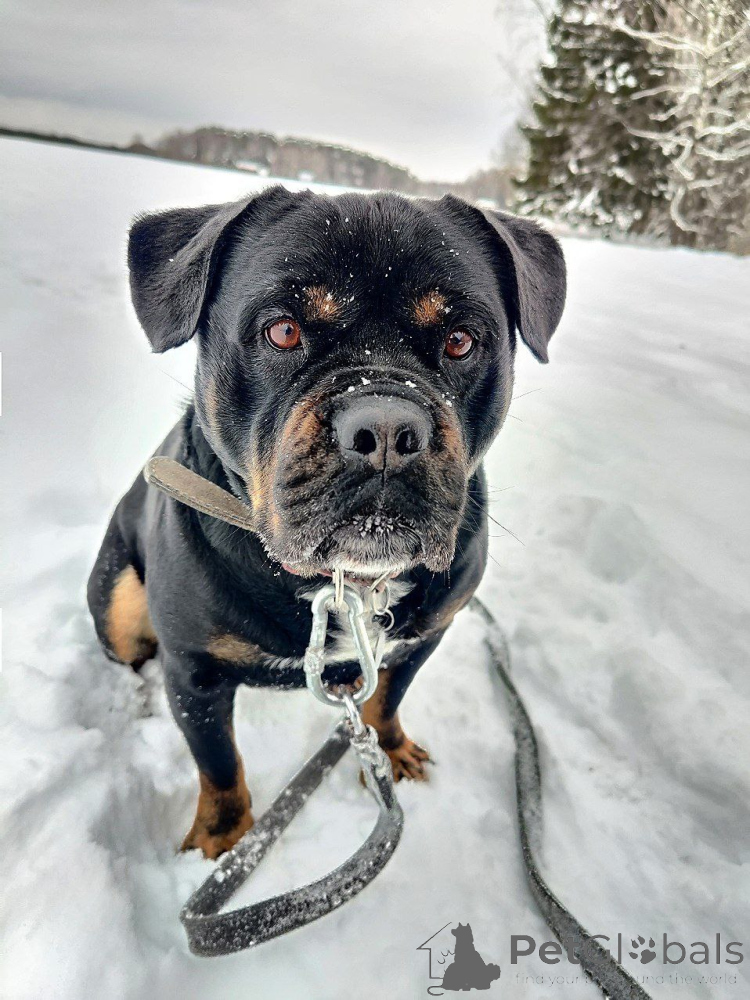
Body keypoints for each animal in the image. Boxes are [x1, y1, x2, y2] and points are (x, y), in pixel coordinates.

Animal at [87, 186, 565, 858]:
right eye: (283, 331)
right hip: (119, 601)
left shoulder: (421, 638)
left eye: (461, 341)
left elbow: (385, 702)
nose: (387, 429)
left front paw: (389, 755)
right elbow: (219, 765)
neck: (343, 583)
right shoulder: (195, 673)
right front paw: (223, 842)